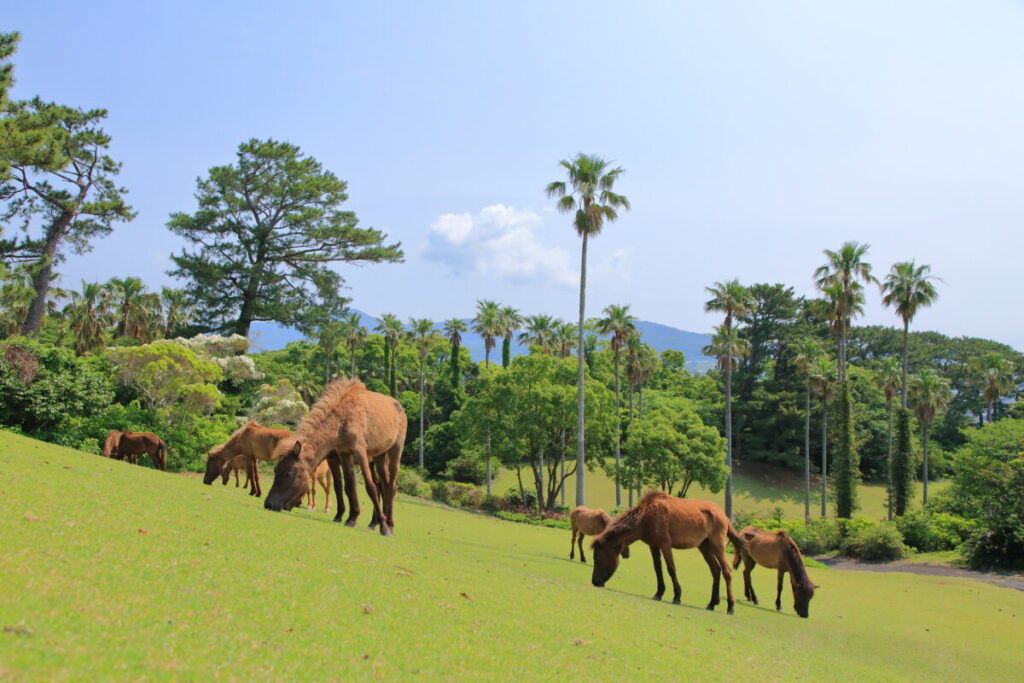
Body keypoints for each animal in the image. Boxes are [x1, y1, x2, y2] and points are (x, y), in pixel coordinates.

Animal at [264, 378, 406, 537]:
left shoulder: (360, 452)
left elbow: (370, 488)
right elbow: (347, 486)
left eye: (288, 473)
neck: (342, 419)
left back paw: (389, 524)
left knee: (390, 486)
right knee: (384, 485)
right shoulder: (343, 455)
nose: (268, 503)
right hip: (379, 458)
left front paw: (384, 527)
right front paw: (351, 518)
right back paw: (375, 522)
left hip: (395, 452)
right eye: (276, 470)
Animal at [590, 491, 745, 614]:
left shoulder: (665, 545)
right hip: (704, 546)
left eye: (597, 558)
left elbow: (671, 569)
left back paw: (730, 606)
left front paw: (677, 596)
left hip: (717, 546)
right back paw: (712, 603)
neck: (646, 517)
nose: (595, 581)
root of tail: (723, 515)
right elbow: (658, 569)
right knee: (716, 570)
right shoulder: (653, 546)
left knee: (726, 571)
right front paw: (659, 593)